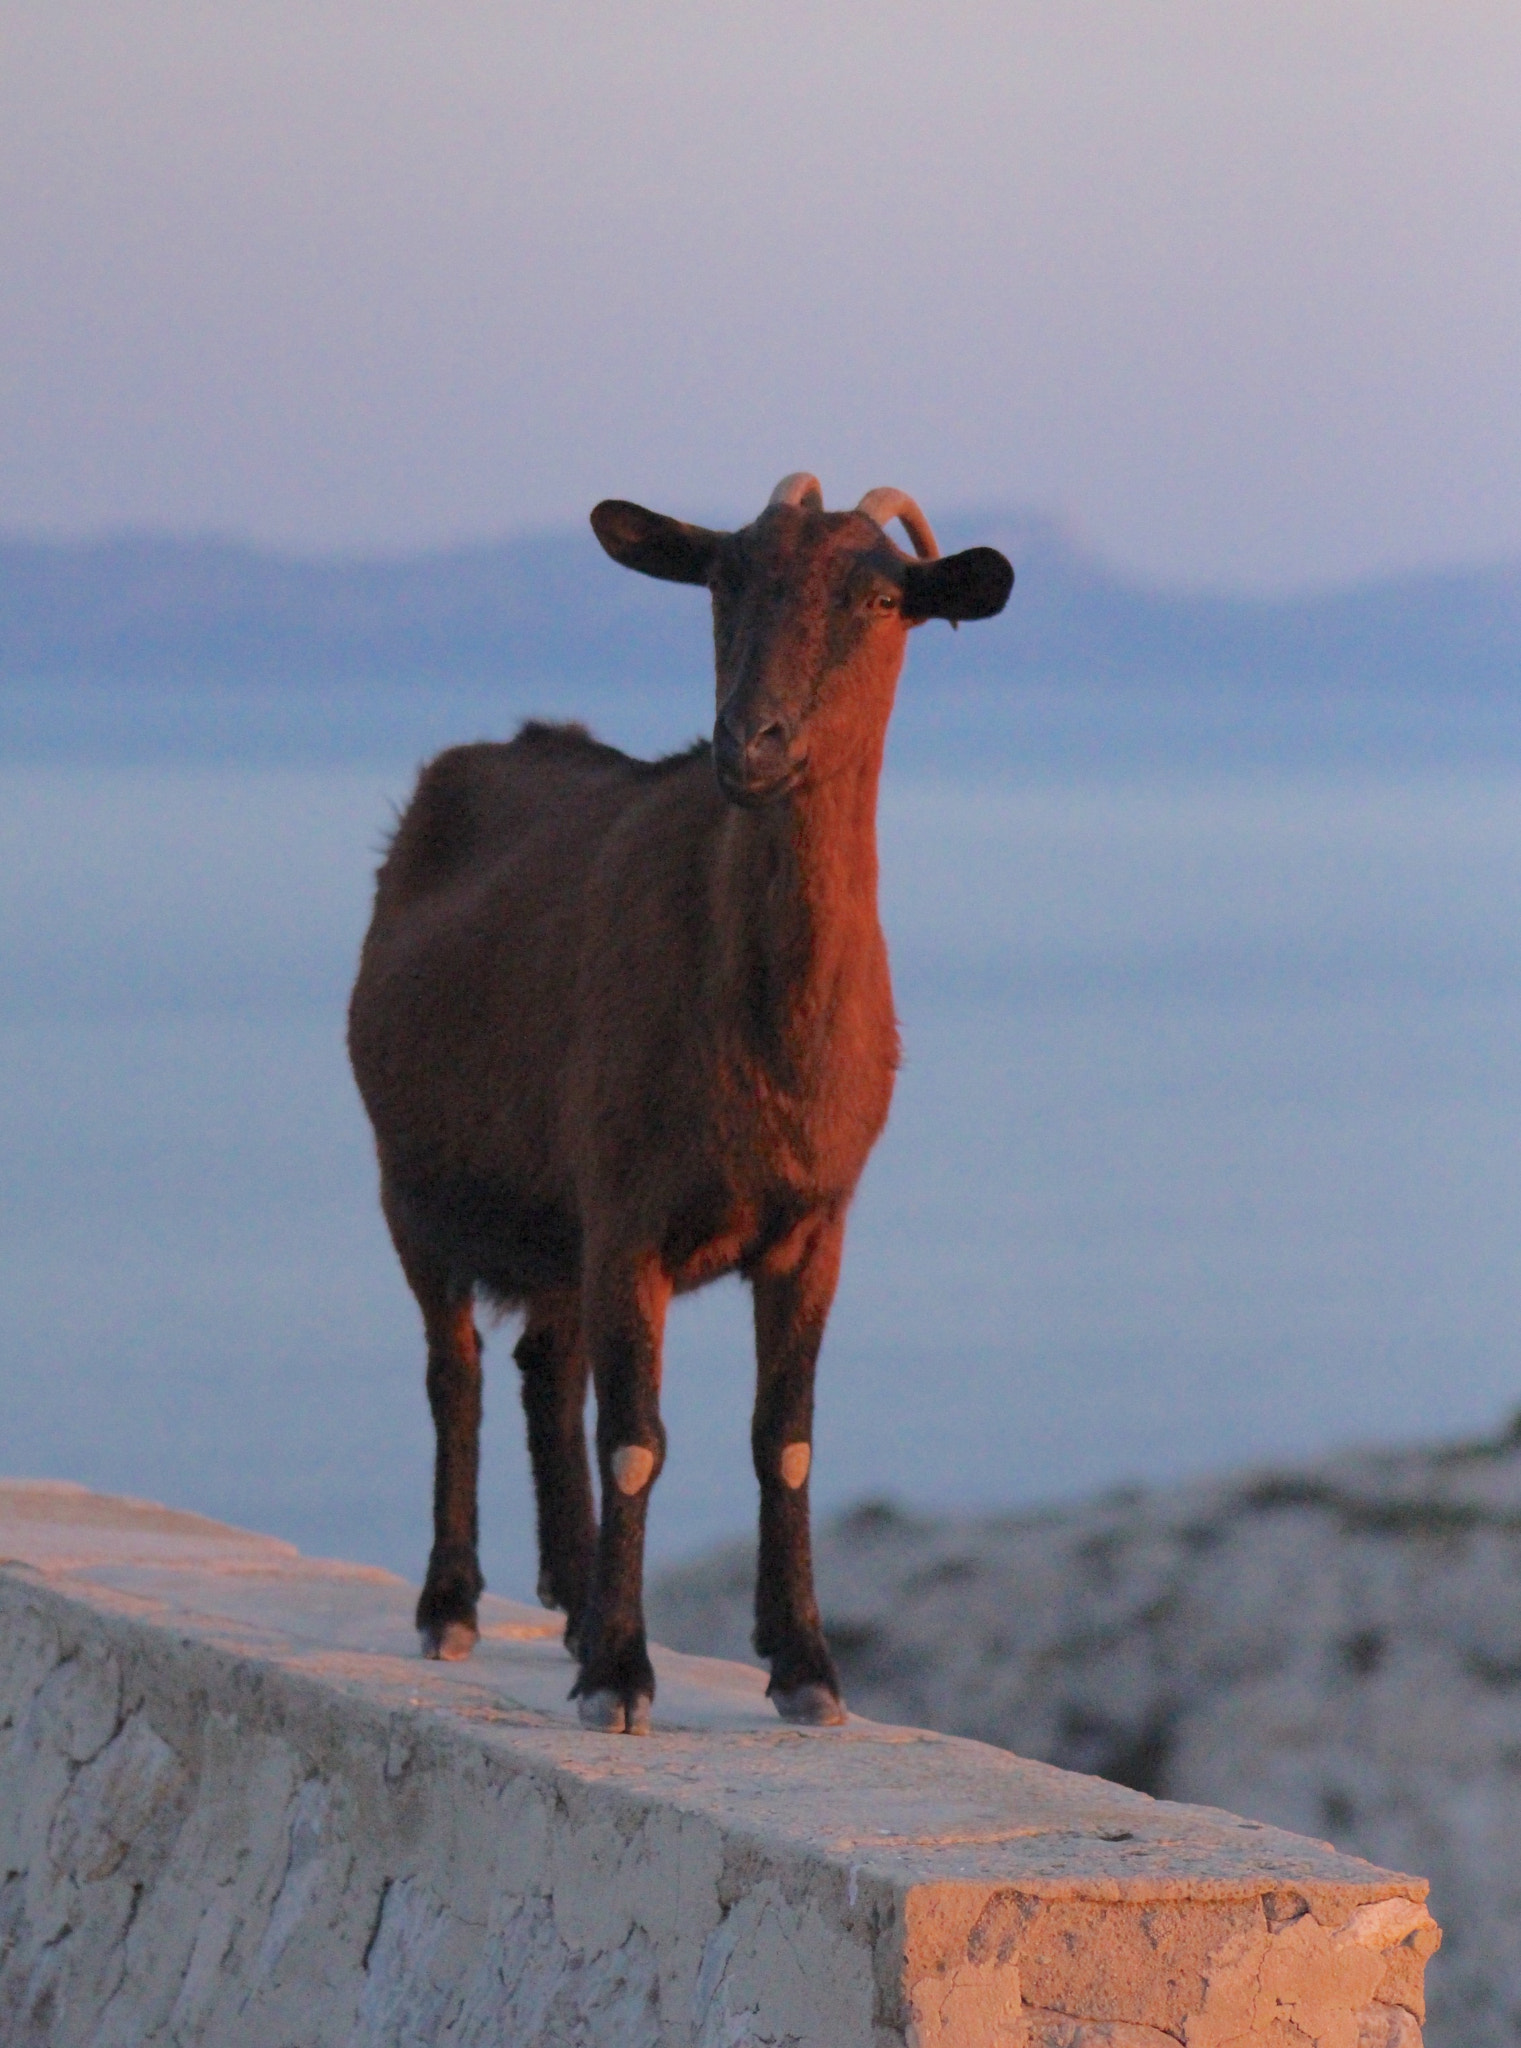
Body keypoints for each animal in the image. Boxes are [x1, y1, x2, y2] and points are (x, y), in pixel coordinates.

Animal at [345, 475, 1011, 1728]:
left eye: (881, 595)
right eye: (722, 577)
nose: (751, 744)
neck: (762, 1032)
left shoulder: (814, 1226)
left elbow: (784, 1440)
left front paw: (804, 1666)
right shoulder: (628, 1214)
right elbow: (637, 1438)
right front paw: (621, 1671)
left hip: (555, 1227)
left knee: (543, 1366)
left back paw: (567, 1595)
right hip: (414, 1187)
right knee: (457, 1372)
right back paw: (454, 1603)